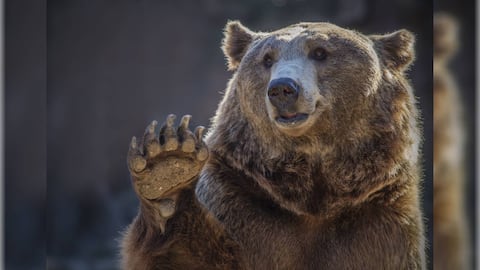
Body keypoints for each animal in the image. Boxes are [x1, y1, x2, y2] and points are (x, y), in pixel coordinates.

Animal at [122, 21, 426, 270]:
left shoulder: (378, 221)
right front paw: (167, 168)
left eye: (320, 52)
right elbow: (186, 257)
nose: (282, 88)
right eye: (267, 58)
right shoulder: (239, 200)